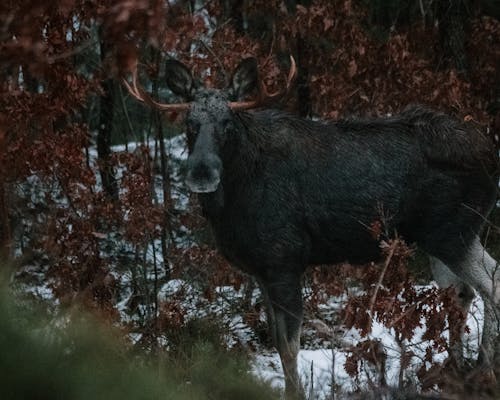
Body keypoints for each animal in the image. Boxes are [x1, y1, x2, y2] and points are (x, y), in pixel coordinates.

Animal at [123, 57, 498, 400]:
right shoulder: (261, 270)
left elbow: (290, 345)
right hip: (439, 237)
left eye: (227, 122)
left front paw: (296, 392)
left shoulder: (285, 258)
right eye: (190, 123)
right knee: (460, 293)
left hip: (453, 231)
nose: (201, 172)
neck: (235, 199)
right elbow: (277, 340)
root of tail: (490, 154)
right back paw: (453, 373)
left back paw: (483, 369)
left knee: (490, 286)